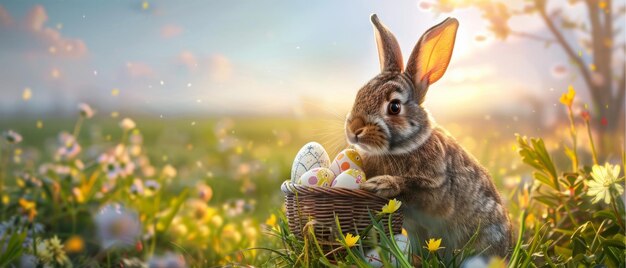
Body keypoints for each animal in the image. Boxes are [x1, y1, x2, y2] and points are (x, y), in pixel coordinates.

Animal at [348, 14, 510, 258]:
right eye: (359, 94)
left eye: (394, 107)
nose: (354, 129)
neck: (407, 145)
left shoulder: (435, 185)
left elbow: (412, 186)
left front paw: (379, 184)